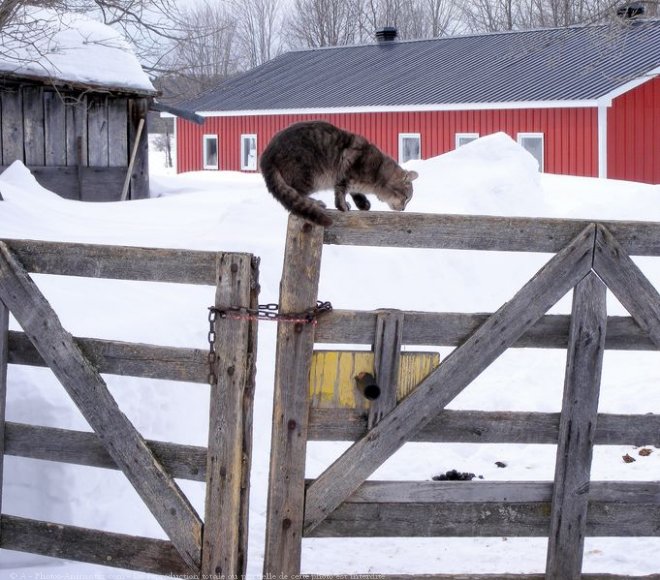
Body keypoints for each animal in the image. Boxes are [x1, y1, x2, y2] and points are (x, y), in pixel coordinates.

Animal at [260, 121, 418, 225]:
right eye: (406, 198)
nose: (403, 209)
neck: (378, 172)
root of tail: (267, 155)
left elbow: (355, 192)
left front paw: (363, 204)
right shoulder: (344, 171)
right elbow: (341, 192)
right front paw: (342, 206)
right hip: (307, 175)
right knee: (297, 193)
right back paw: (315, 202)